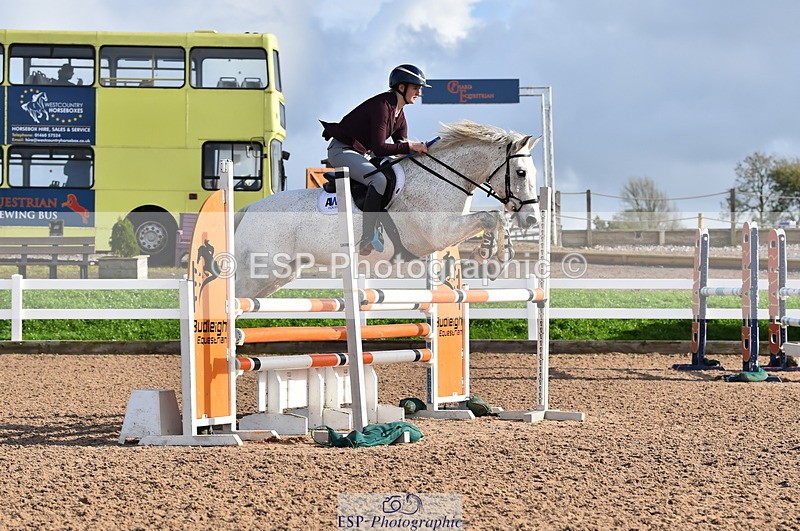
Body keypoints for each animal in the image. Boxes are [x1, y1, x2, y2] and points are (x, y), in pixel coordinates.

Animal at [234, 120, 541, 298]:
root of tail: (248, 210)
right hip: (259, 272)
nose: (531, 220)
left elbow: (494, 218)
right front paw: (493, 257)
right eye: (521, 172)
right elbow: (491, 217)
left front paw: (495, 253)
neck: (443, 176)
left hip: (279, 275)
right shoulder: (440, 233)